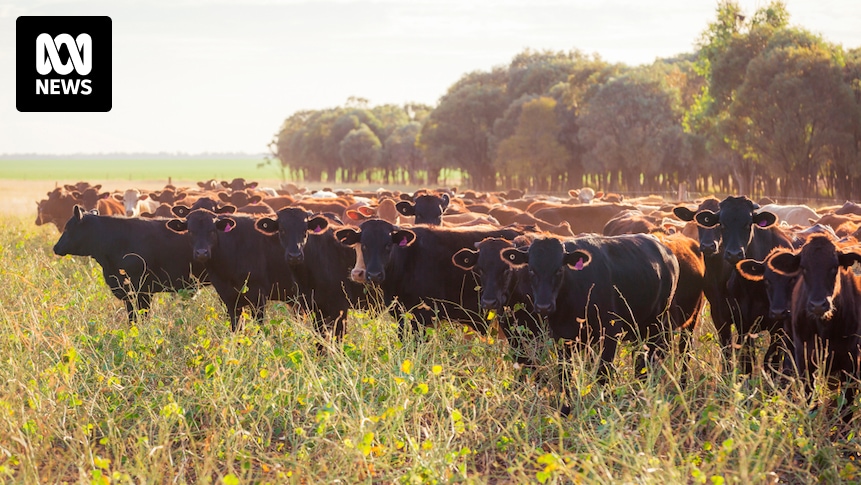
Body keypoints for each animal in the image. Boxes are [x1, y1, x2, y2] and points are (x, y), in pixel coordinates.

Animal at [166, 210, 296, 331]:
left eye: (212, 231)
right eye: (191, 231)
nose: (202, 253)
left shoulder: (258, 296)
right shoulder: (228, 298)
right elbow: (236, 327)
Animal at [768, 235, 861, 421]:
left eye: (834, 267)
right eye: (803, 268)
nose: (818, 304)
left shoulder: (852, 361)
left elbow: (846, 406)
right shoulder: (804, 358)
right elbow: (809, 399)